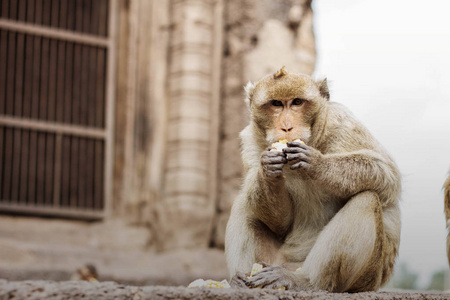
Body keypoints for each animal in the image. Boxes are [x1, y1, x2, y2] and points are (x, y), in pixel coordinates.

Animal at [225, 67, 400, 292]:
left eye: (297, 102)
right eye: (276, 104)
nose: (286, 127)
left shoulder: (342, 122)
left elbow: (386, 175)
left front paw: (316, 163)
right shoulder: (250, 142)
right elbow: (280, 223)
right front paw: (267, 171)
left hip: (367, 277)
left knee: (367, 199)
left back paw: (304, 280)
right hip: (273, 260)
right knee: (243, 201)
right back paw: (240, 280)